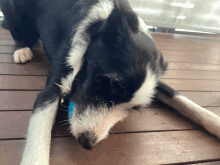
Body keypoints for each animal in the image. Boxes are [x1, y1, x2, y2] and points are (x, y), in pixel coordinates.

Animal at [1, 0, 220, 164]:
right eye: (107, 82)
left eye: (133, 108)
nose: (87, 142)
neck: (98, 28)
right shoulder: (52, 89)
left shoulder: (153, 83)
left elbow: (178, 97)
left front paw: (215, 122)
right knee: (18, 34)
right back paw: (23, 49)